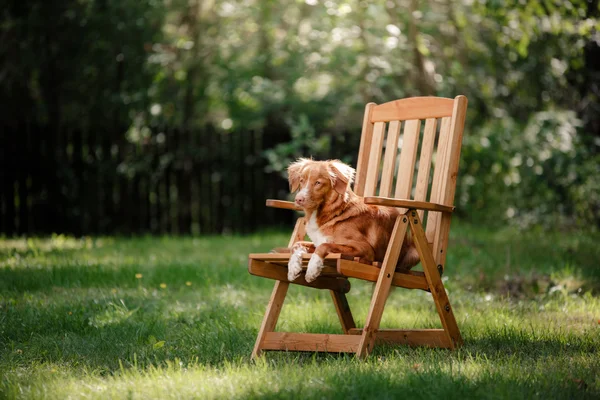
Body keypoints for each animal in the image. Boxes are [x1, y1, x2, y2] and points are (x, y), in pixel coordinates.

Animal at [284, 158, 418, 282]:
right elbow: (297, 244)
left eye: (318, 182)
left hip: (413, 253)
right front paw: (293, 268)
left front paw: (312, 269)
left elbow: (324, 245)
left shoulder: (364, 249)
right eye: (301, 180)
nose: (298, 199)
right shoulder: (317, 240)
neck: (336, 213)